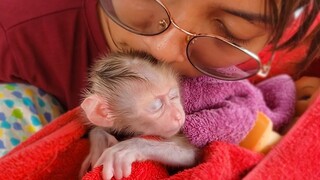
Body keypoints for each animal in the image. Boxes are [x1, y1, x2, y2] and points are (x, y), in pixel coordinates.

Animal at [80, 50, 195, 179]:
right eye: (156, 106)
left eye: (173, 97)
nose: (178, 116)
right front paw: (99, 141)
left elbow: (190, 154)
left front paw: (131, 146)